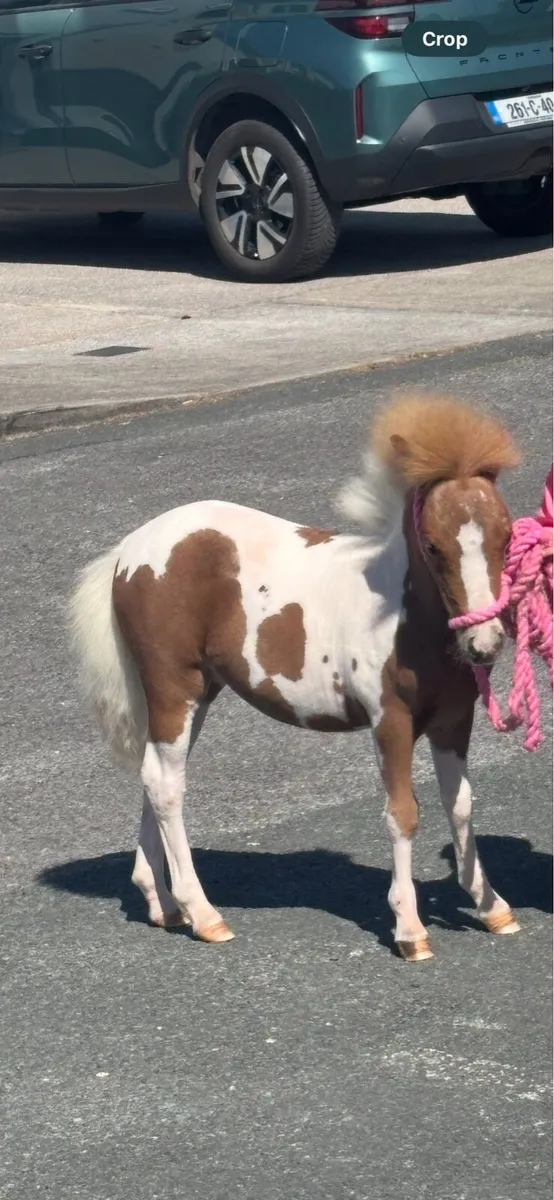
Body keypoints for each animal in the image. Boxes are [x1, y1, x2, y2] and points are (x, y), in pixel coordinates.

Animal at [69, 394, 523, 962]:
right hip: (174, 685)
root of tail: (127, 551)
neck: (401, 613)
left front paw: (492, 907)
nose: (484, 644)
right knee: (166, 784)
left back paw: (163, 904)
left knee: (156, 774)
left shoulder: (454, 721)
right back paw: (204, 915)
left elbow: (459, 805)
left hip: (198, 693)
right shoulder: (390, 721)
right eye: (435, 546)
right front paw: (410, 929)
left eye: (507, 534)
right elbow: (403, 812)